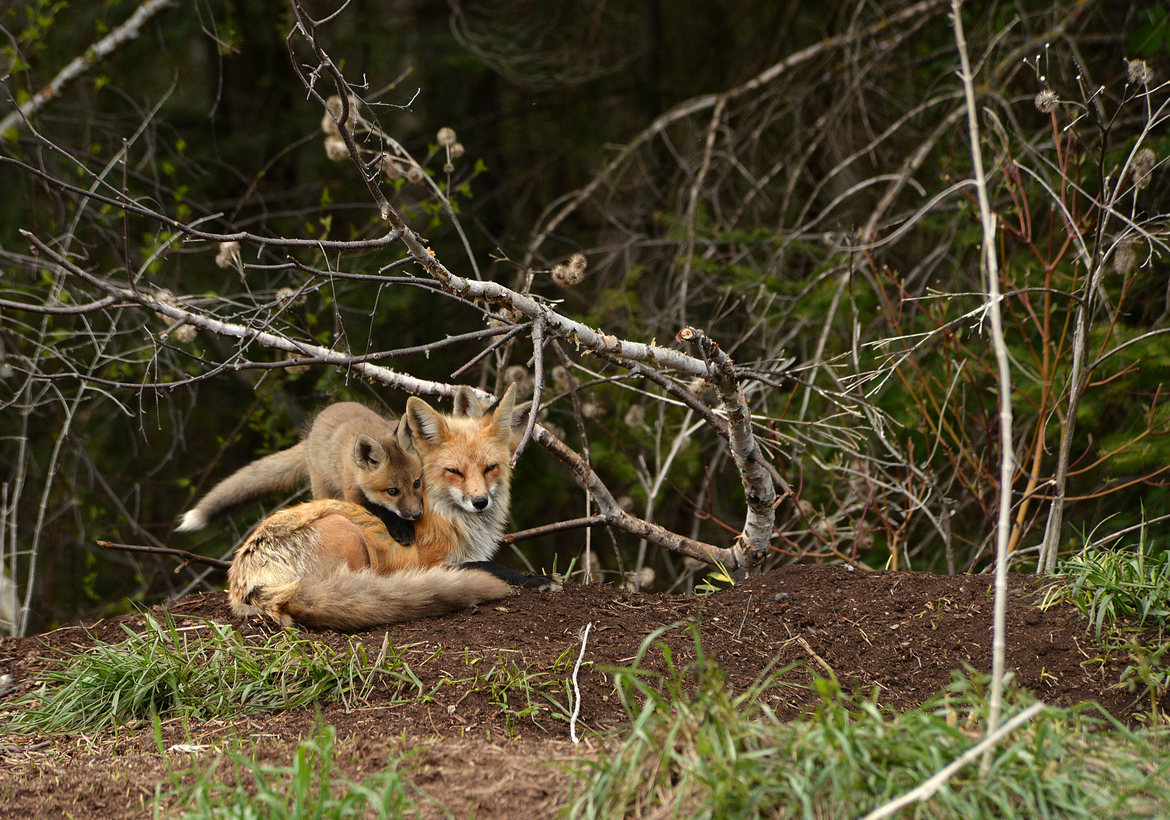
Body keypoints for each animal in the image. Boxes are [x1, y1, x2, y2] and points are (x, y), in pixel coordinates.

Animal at [176, 402, 424, 543]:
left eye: (417, 483)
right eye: (392, 491)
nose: (417, 515)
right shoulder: (353, 492)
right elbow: (382, 513)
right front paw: (401, 531)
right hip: (324, 489)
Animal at [227, 384, 543, 630]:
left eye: (490, 468)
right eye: (454, 472)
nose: (480, 502)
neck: (446, 515)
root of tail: (245, 576)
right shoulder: (425, 560)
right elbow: (488, 564)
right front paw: (537, 580)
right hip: (348, 536)